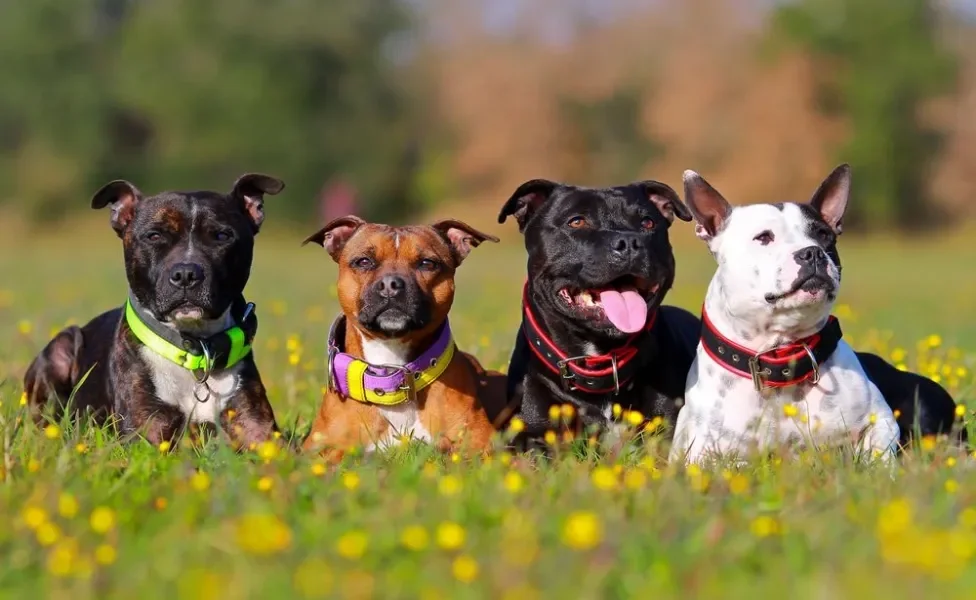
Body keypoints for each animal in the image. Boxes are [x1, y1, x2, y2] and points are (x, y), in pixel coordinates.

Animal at [24, 171, 284, 448]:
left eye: (222, 236)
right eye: (154, 236)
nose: (186, 274)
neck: (194, 351)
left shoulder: (259, 429)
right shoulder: (146, 432)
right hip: (62, 345)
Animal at [668, 164, 912, 464]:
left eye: (824, 235)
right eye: (764, 237)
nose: (813, 252)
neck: (780, 352)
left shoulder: (882, 420)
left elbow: (876, 454)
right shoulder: (702, 452)